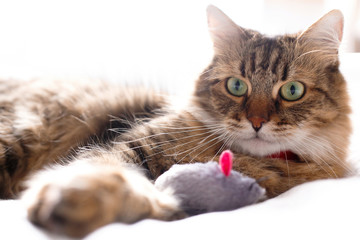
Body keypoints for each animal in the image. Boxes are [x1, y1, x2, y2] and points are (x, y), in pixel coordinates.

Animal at [0, 5, 354, 238]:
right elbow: (106, 173)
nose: (256, 121)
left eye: (292, 91)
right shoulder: (131, 143)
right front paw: (73, 199)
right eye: (236, 86)